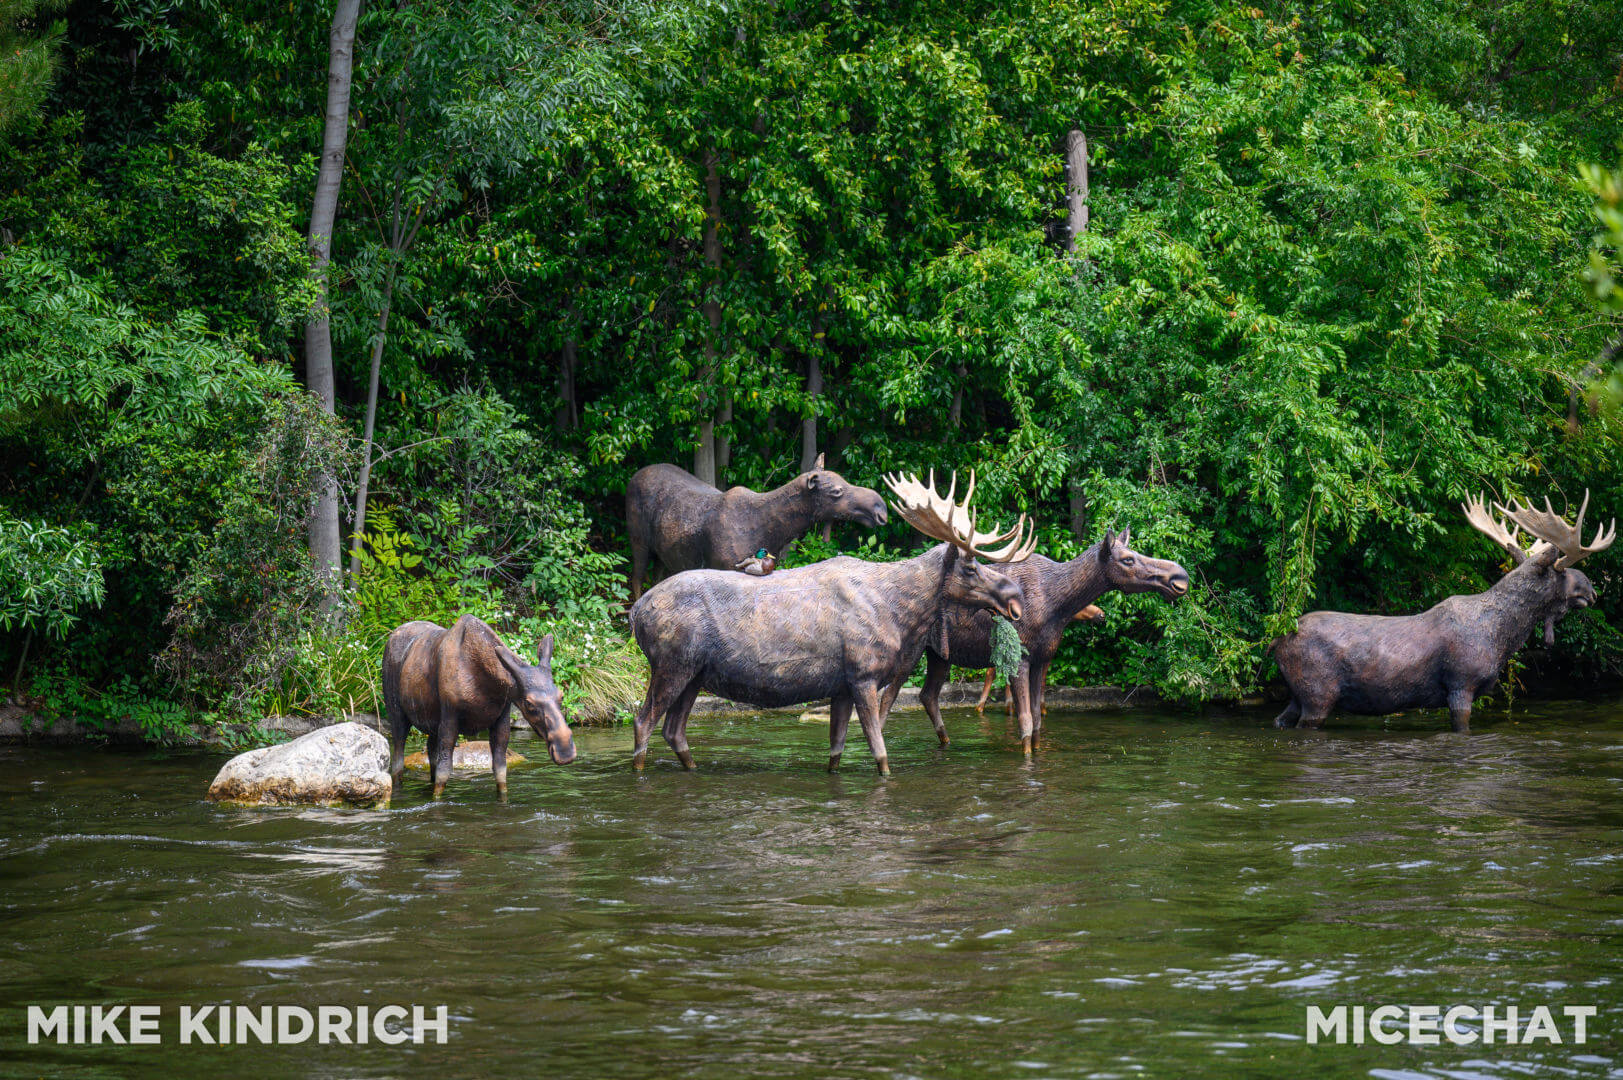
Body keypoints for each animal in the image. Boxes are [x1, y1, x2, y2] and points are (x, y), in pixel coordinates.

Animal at [381, 610, 577, 795]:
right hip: (396, 713)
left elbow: (500, 771)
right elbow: (444, 772)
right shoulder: (450, 718)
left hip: (432, 722)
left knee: (430, 754)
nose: (565, 750)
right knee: (397, 761)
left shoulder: (502, 718)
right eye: (529, 703)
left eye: (561, 695)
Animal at [626, 451, 895, 597]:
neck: (771, 531)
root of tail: (634, 475)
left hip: (664, 553)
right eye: (837, 491)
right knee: (636, 579)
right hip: (638, 540)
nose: (880, 509)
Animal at [626, 467, 1032, 769]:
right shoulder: (863, 674)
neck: (899, 613)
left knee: (674, 730)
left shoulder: (840, 686)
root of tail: (636, 613)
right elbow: (880, 754)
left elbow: (835, 753)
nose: (1015, 597)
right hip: (671, 663)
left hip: (695, 673)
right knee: (643, 722)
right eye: (970, 567)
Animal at [1278, 490, 1610, 734]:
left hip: (1297, 694)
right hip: (1318, 693)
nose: (1592, 591)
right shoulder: (1461, 683)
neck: (1502, 635)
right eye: (1562, 573)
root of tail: (1275, 643)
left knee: (1280, 720)